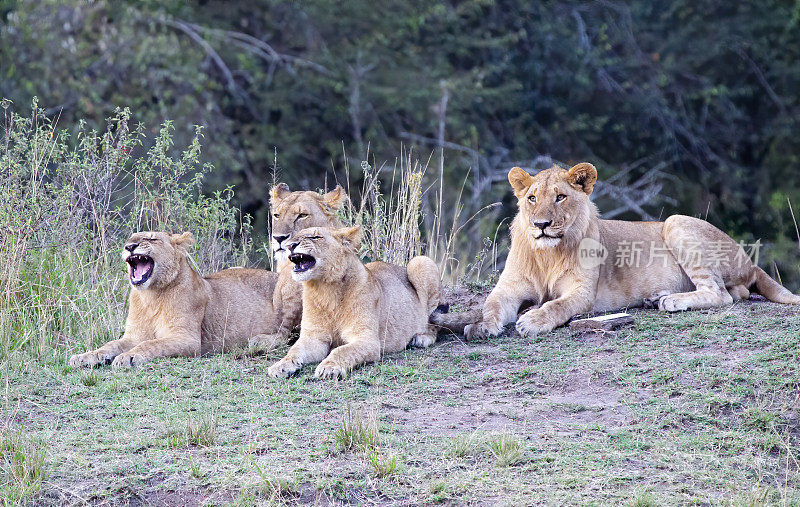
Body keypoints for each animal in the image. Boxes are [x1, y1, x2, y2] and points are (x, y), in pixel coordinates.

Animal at [69, 231, 282, 370]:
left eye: (151, 238)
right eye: (129, 240)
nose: (129, 247)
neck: (151, 295)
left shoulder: (187, 339)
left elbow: (151, 344)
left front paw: (128, 357)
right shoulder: (134, 335)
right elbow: (111, 344)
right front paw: (85, 357)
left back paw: (260, 341)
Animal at [268, 227, 444, 380]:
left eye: (315, 237)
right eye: (294, 236)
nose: (288, 245)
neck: (325, 289)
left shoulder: (367, 340)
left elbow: (341, 351)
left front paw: (329, 368)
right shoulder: (314, 338)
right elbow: (294, 350)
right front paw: (280, 366)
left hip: (421, 262)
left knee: (433, 321)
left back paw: (421, 338)